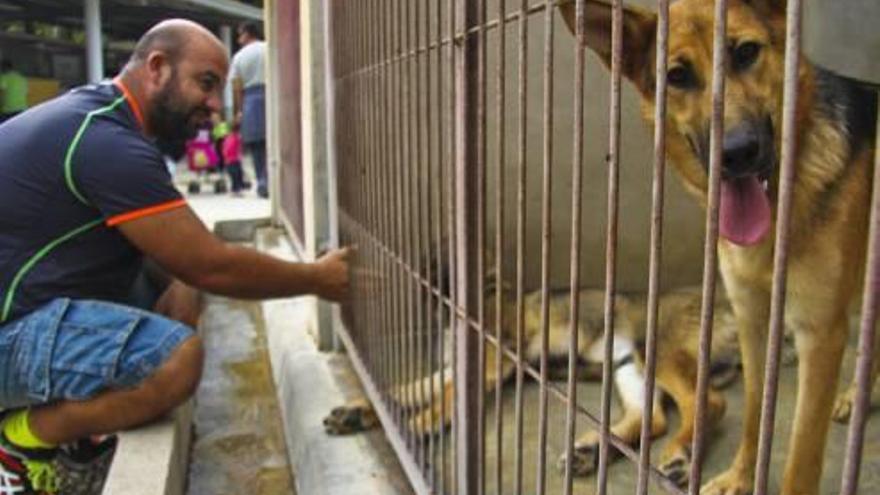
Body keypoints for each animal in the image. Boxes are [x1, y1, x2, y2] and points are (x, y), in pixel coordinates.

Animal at [326, 280, 740, 486]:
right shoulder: (454, 370)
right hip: (626, 366)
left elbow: (441, 398)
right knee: (650, 418)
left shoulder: (489, 363)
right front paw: (362, 411)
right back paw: (589, 451)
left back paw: (682, 455)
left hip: (657, 352)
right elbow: (404, 391)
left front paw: (419, 425)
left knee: (709, 403)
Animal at [560, 0, 876, 495]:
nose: (738, 153)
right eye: (677, 75)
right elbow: (754, 414)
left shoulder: (820, 333)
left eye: (746, 52)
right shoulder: (753, 319)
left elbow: (801, 457)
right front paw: (740, 476)